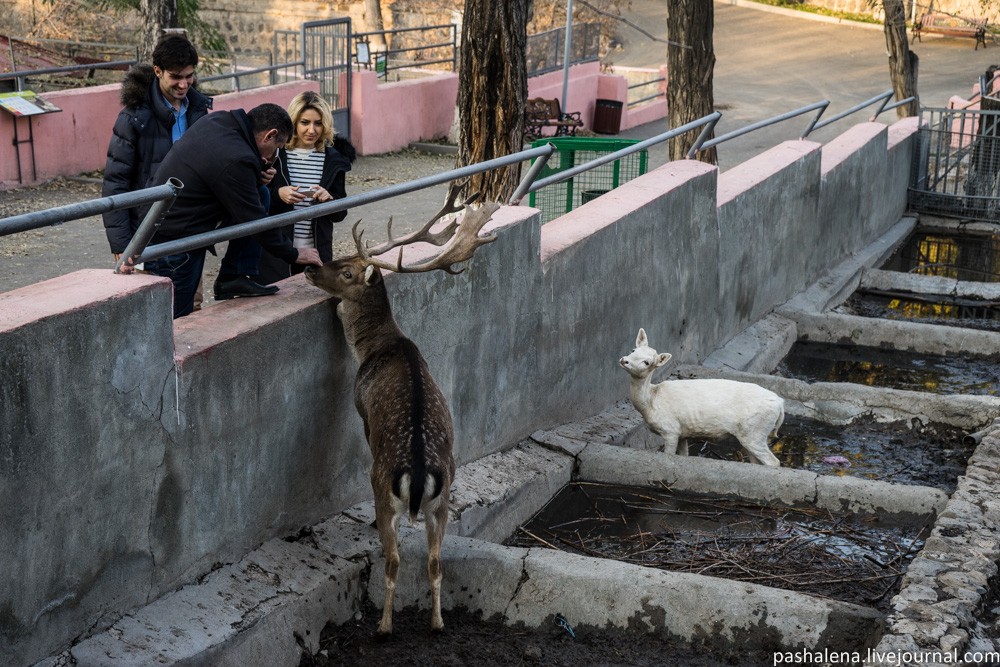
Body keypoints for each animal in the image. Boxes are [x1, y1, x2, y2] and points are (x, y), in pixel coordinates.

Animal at [300, 184, 496, 636]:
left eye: (347, 272)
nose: (310, 269)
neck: (379, 346)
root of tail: (420, 472)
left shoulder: (362, 412)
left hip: (384, 487)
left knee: (392, 560)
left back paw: (384, 626)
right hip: (442, 502)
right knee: (436, 562)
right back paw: (437, 622)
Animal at [620, 328, 784, 464]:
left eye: (647, 362)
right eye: (633, 349)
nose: (624, 360)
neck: (650, 402)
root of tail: (780, 403)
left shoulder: (670, 430)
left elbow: (670, 456)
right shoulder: (682, 433)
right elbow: (684, 455)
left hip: (755, 431)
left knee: (773, 462)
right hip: (751, 434)